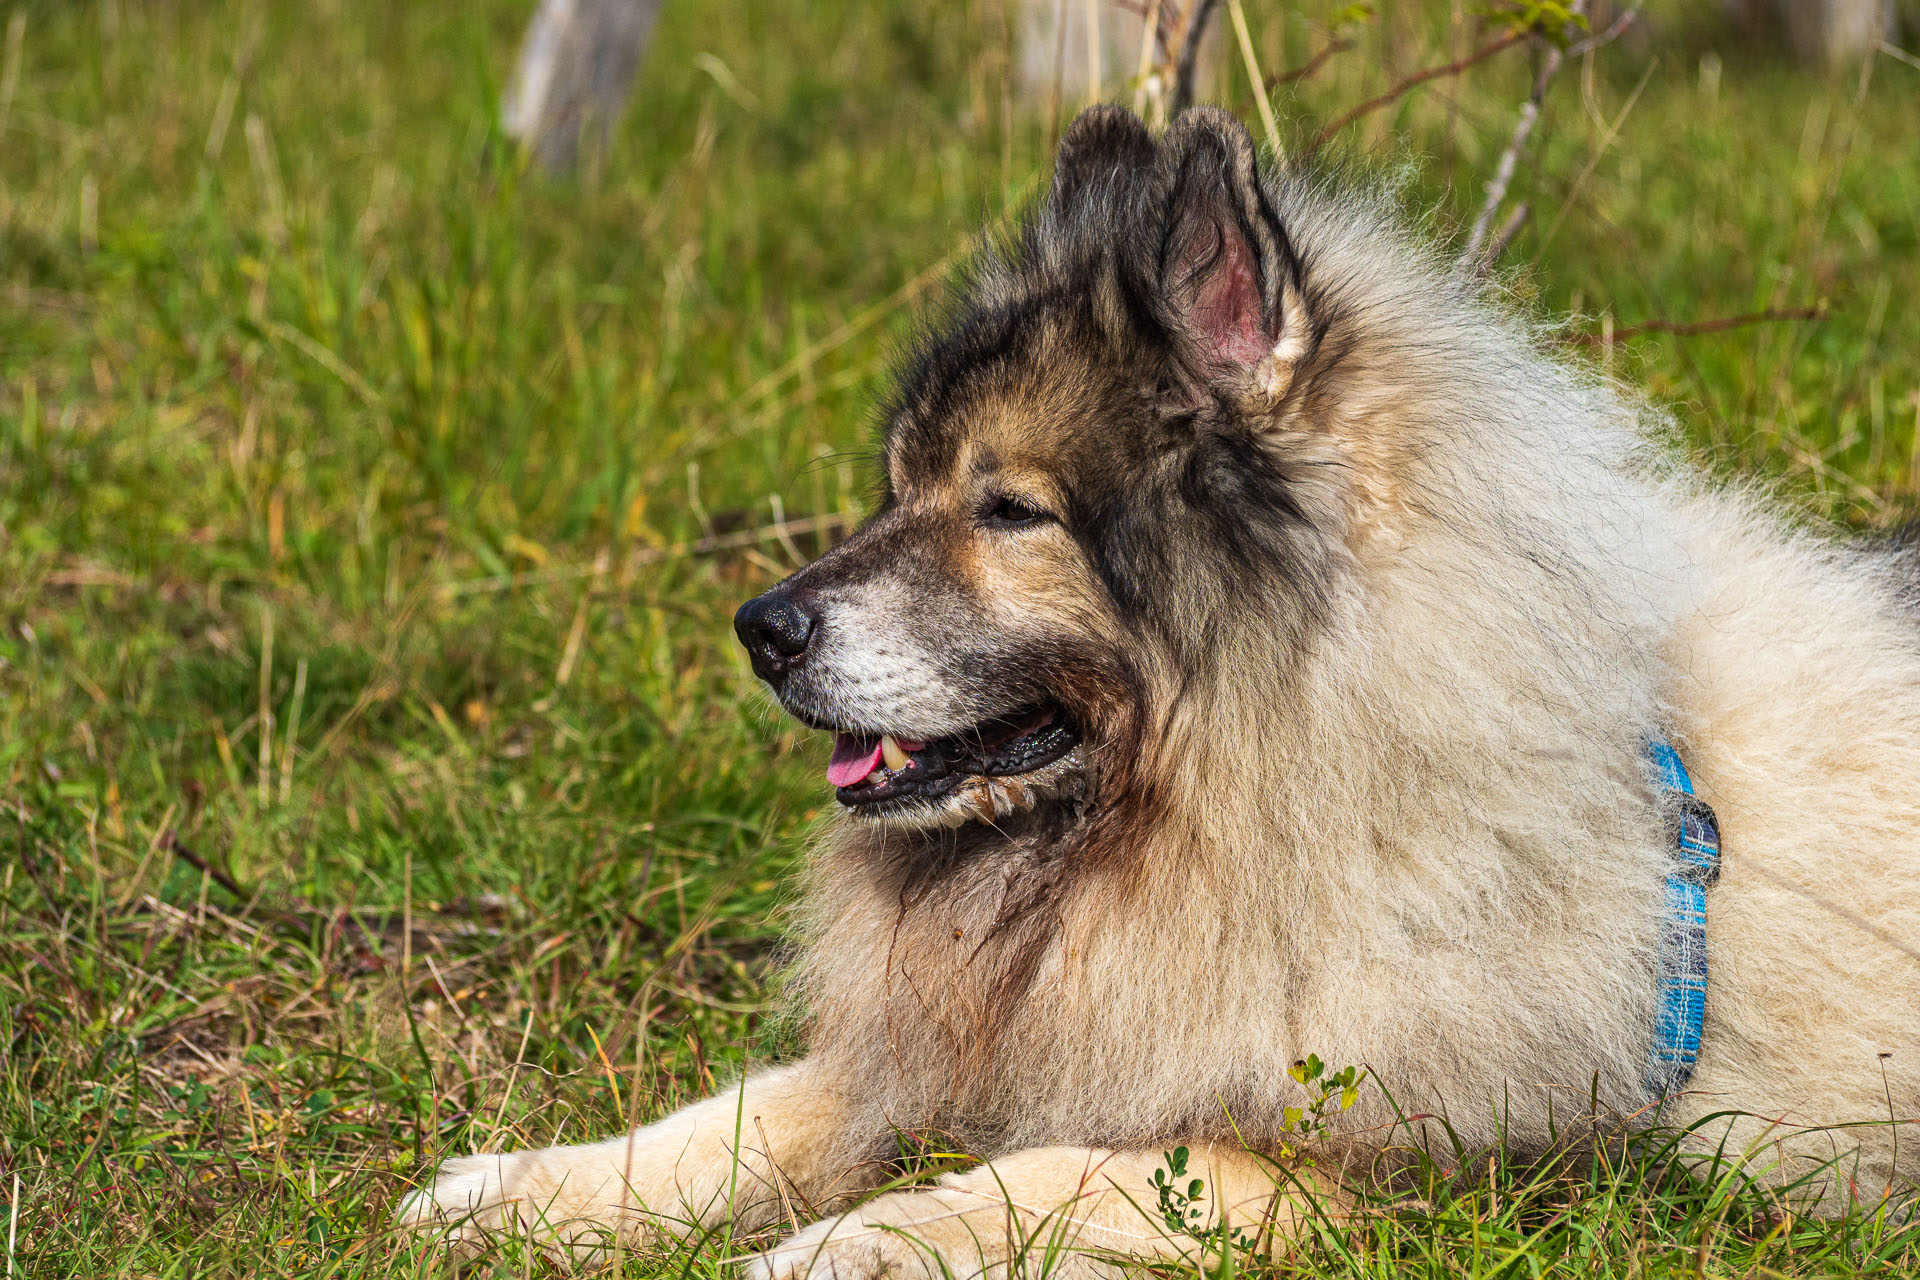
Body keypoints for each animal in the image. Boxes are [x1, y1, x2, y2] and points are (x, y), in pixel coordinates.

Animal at [393, 107, 1920, 1274]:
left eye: (1009, 510)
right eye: (896, 486)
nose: (758, 629)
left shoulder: (1417, 1163)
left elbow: (1065, 1175)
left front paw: (856, 1244)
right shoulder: (986, 1038)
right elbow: (758, 1112)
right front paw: (520, 1190)